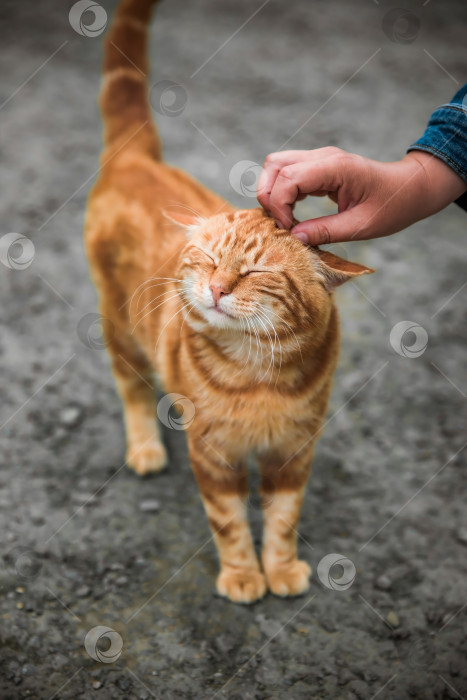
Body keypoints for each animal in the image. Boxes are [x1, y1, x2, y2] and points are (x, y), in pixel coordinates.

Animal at [86, 0, 374, 600]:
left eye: (255, 272)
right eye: (207, 260)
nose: (217, 288)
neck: (256, 373)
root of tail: (137, 160)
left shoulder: (294, 451)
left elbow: (283, 518)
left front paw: (281, 569)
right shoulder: (214, 456)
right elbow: (232, 523)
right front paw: (244, 575)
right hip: (118, 326)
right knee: (131, 386)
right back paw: (146, 446)